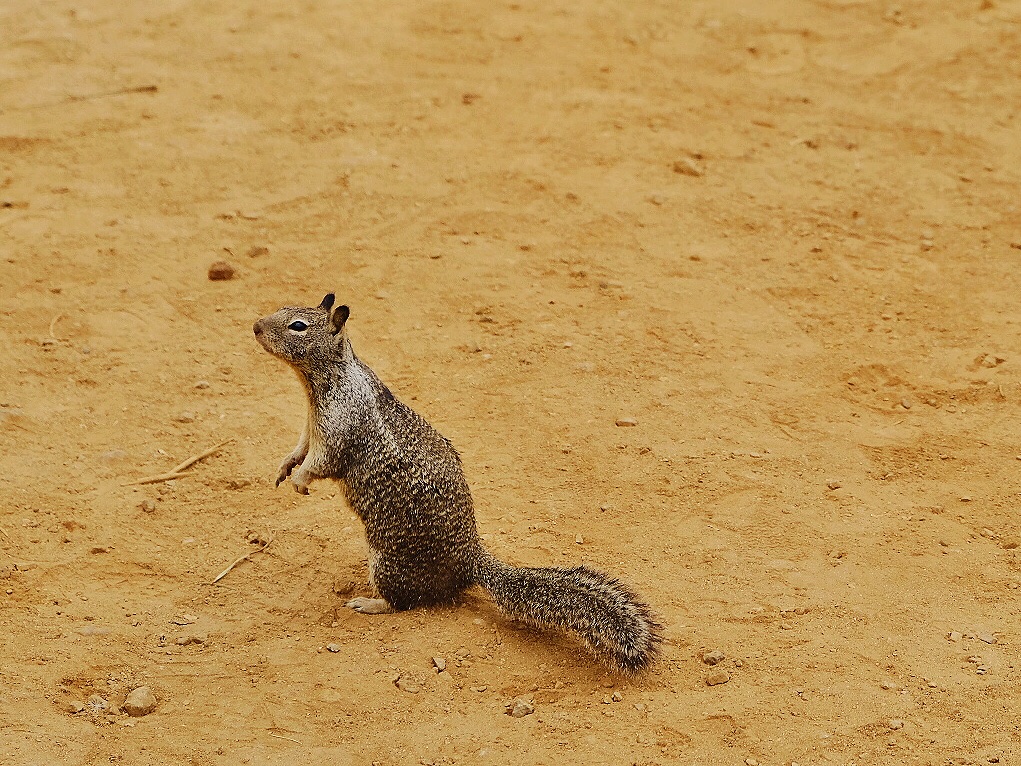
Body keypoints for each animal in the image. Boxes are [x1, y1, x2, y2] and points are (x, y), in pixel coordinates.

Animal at [251, 294, 657, 669]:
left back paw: (369, 603)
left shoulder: (339, 427)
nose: (255, 326)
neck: (323, 381)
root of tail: (469, 560)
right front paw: (285, 468)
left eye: (299, 326)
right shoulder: (310, 428)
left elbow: (323, 462)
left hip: (387, 561)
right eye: (284, 307)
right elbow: (301, 448)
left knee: (404, 602)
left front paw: (300, 480)